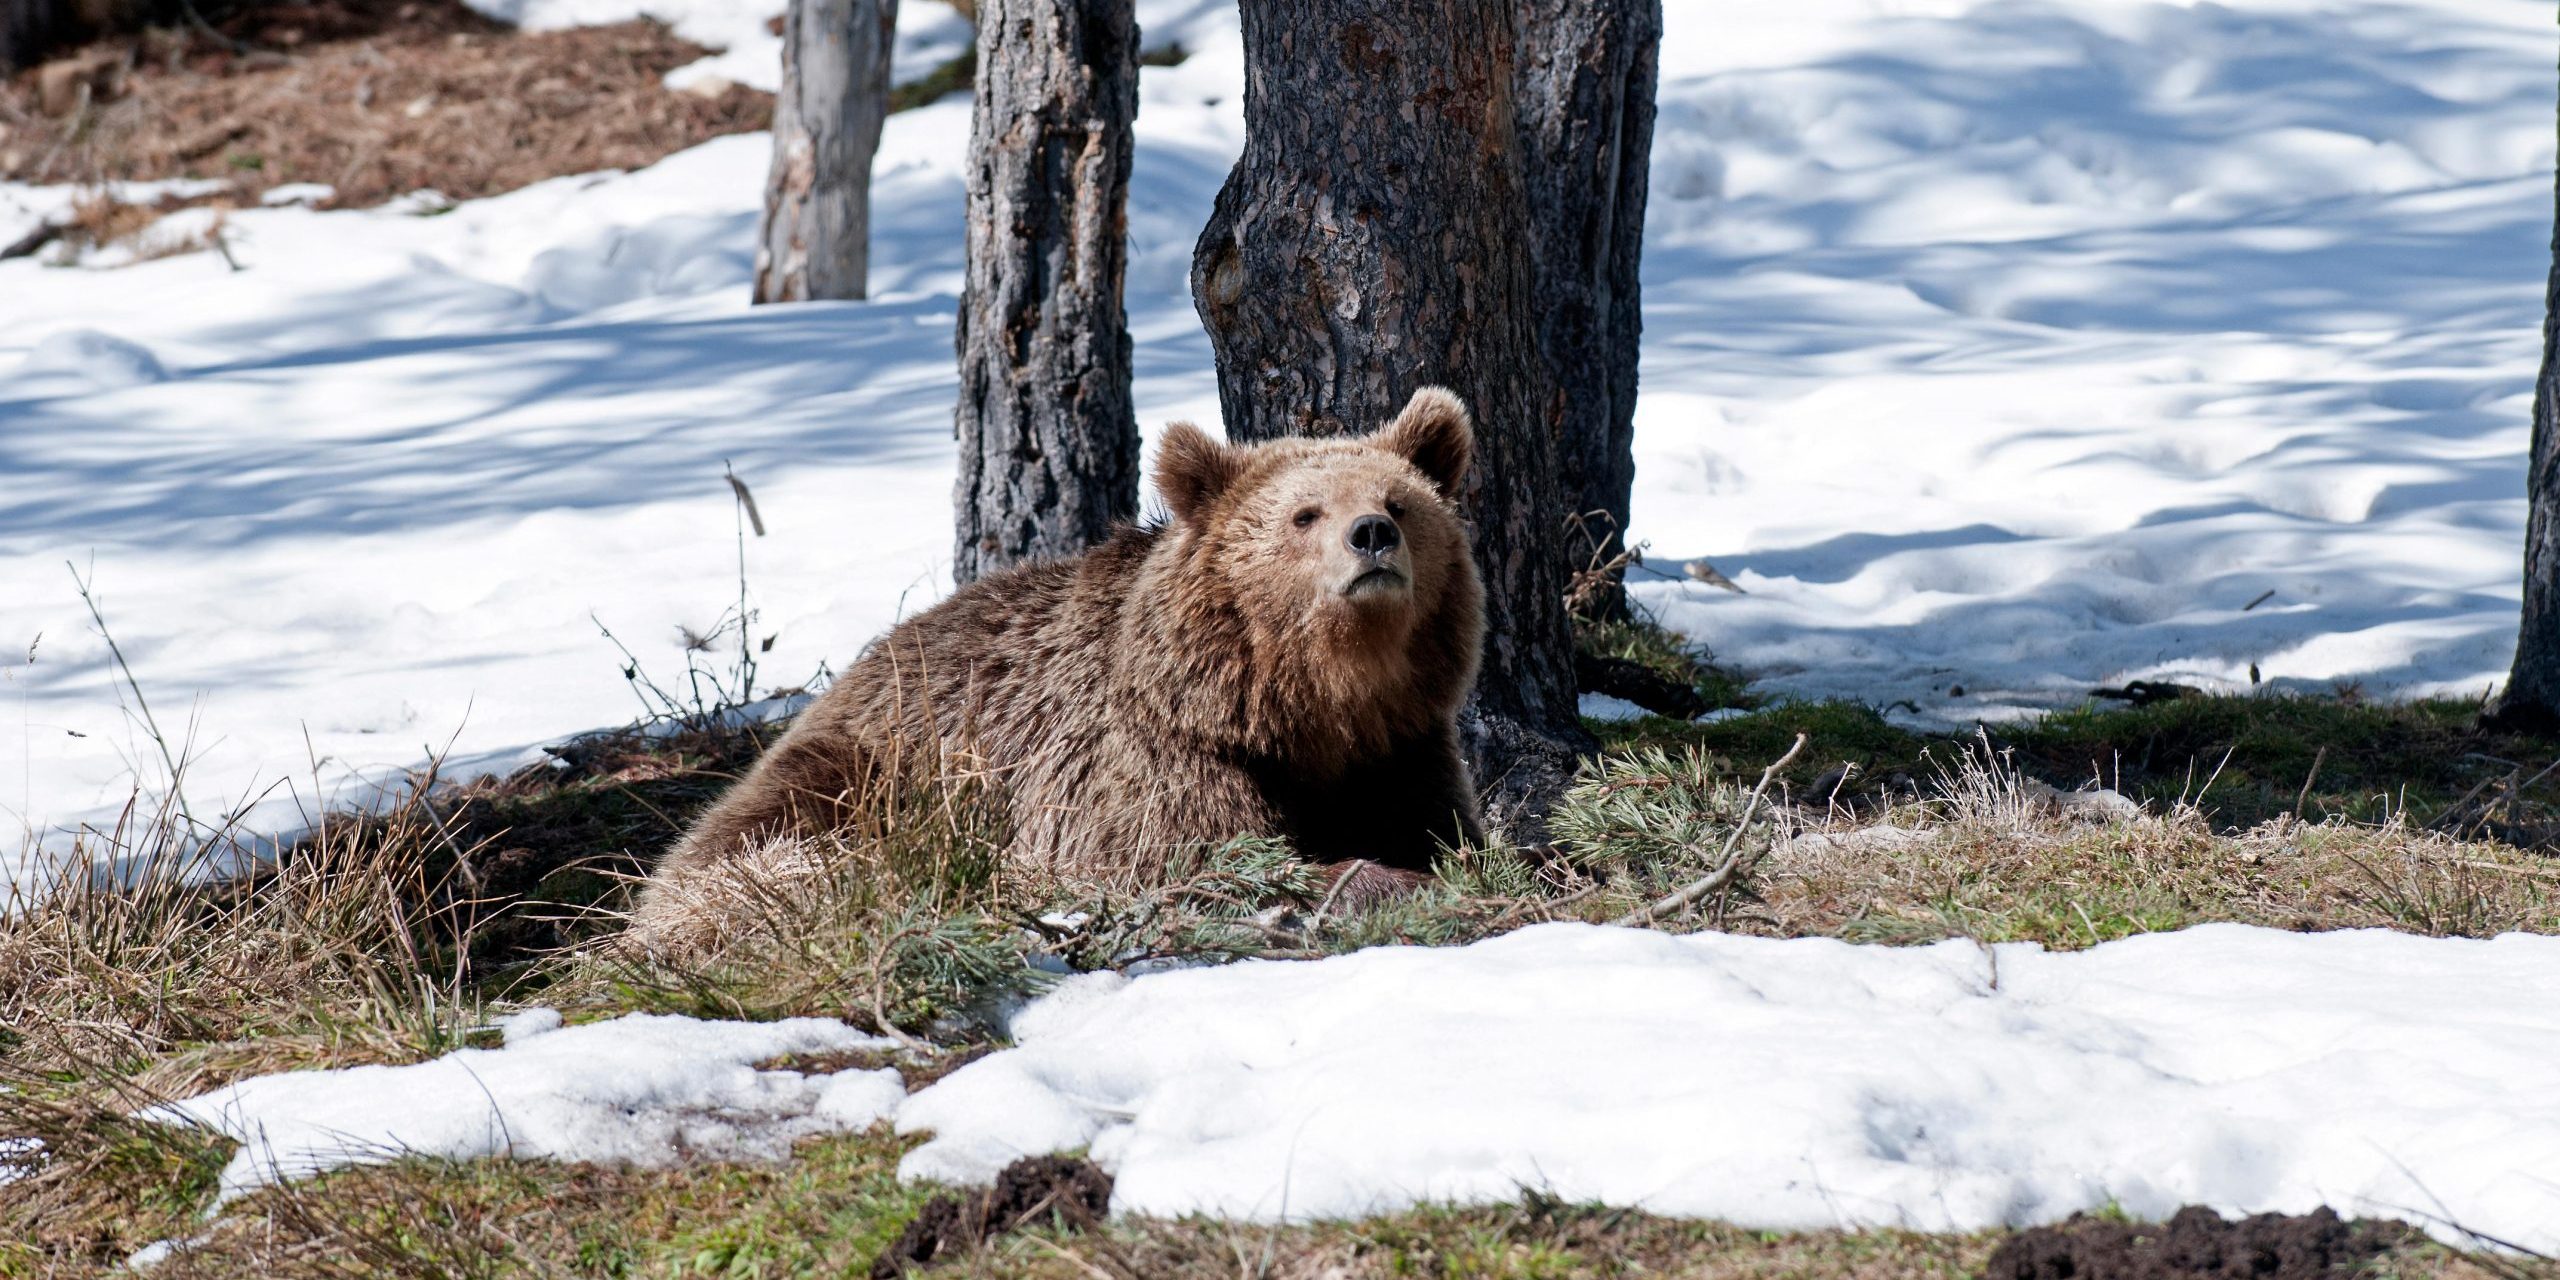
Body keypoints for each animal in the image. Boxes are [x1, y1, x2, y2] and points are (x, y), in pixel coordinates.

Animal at [632, 381, 1495, 911]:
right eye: (1305, 513)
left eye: (1400, 502)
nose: (1371, 534)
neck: (1312, 704)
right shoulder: (1153, 758)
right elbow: (1189, 852)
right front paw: (1369, 874)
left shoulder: (1398, 746)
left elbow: (1443, 827)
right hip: (878, 764)